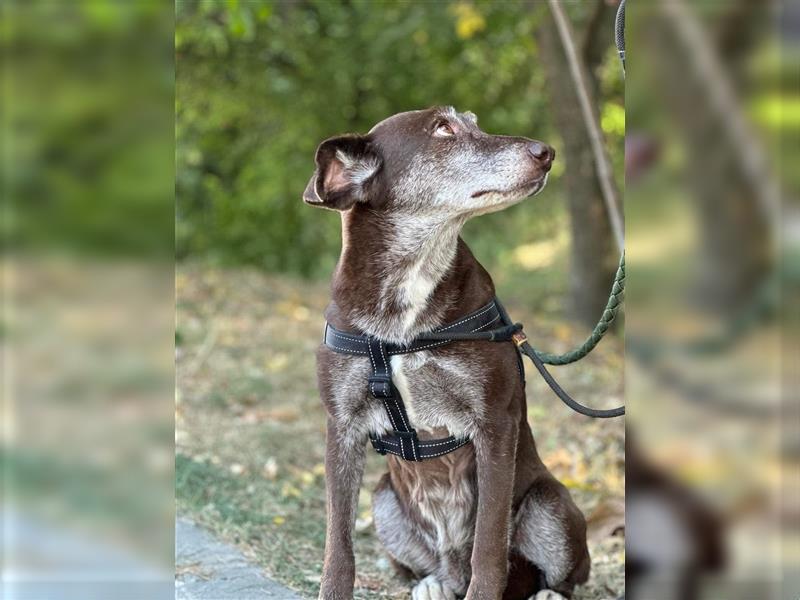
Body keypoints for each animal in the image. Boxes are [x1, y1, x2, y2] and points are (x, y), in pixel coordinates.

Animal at [304, 108, 592, 600]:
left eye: (474, 122)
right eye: (443, 129)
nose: (547, 152)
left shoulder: (495, 423)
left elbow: (489, 550)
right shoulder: (341, 424)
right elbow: (338, 547)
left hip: (549, 504)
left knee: (559, 573)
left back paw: (547, 592)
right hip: (384, 498)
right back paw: (433, 584)